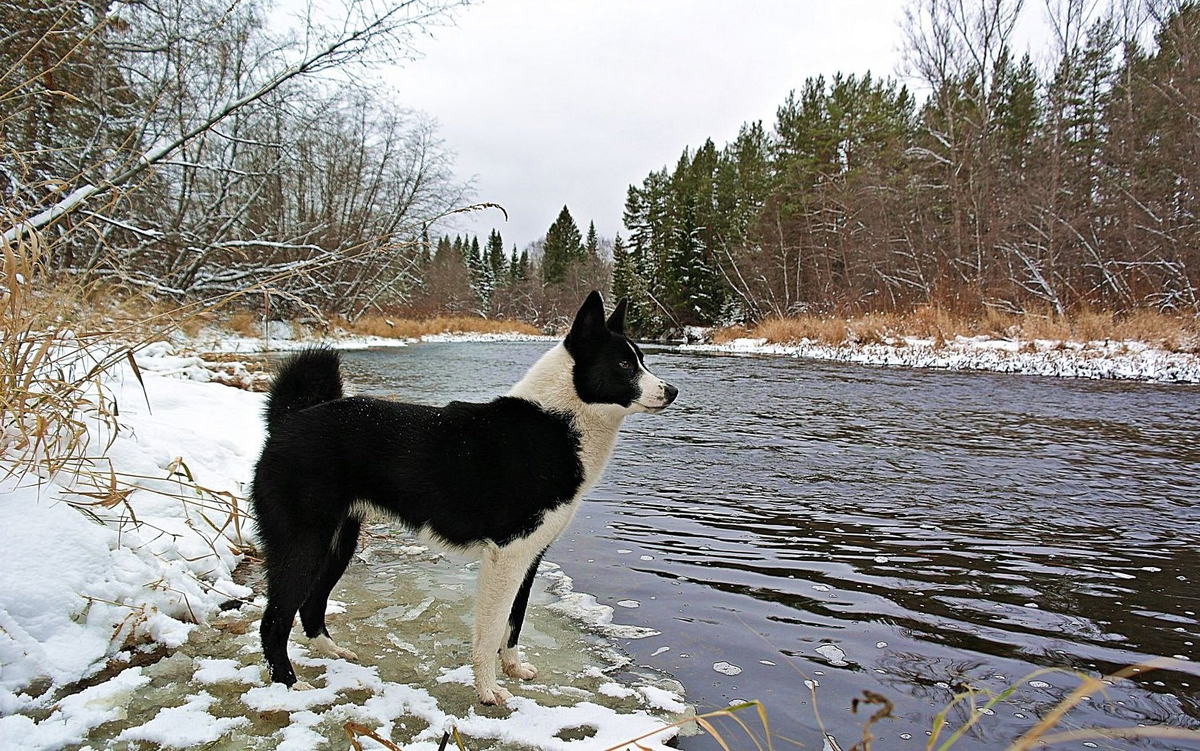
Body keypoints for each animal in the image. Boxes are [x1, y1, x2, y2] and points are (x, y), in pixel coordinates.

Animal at [248, 287, 681, 700]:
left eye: (642, 359)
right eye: (623, 364)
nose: (672, 390)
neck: (558, 422)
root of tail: (289, 420)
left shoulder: (529, 556)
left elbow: (514, 622)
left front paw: (513, 669)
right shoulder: (506, 555)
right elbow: (491, 630)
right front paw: (489, 690)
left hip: (339, 542)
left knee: (310, 605)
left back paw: (331, 651)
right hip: (304, 543)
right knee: (273, 620)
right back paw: (289, 684)